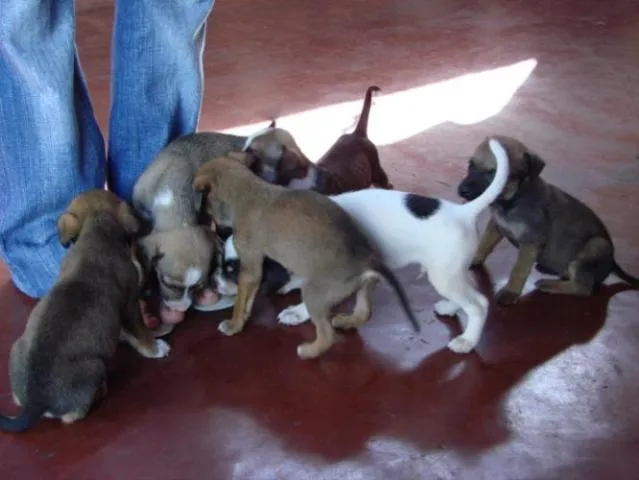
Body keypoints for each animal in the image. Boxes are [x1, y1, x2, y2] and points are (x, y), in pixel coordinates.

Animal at [0, 189, 170, 434]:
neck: (95, 230)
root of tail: (35, 402)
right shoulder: (129, 303)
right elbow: (140, 332)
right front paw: (155, 348)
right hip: (95, 366)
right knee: (74, 416)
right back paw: (100, 391)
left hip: (16, 349)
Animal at [191, 152, 420, 358]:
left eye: (205, 206)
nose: (211, 282)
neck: (246, 191)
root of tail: (367, 258)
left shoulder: (250, 268)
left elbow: (241, 302)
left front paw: (234, 325)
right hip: (363, 287)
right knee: (364, 312)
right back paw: (346, 321)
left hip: (314, 293)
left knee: (327, 335)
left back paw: (308, 351)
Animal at [218, 139, 512, 352]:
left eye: (233, 269)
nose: (217, 285)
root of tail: (463, 211)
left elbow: (316, 298)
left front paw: (297, 312)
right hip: (450, 272)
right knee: (468, 292)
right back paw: (451, 307)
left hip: (444, 275)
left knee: (479, 304)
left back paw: (467, 341)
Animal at [460, 135, 639, 306]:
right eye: (470, 165)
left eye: (495, 173)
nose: (462, 191)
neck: (512, 200)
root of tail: (612, 263)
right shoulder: (496, 226)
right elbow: (484, 244)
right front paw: (473, 259)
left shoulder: (531, 242)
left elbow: (519, 270)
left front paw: (510, 292)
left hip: (595, 246)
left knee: (583, 288)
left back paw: (549, 284)